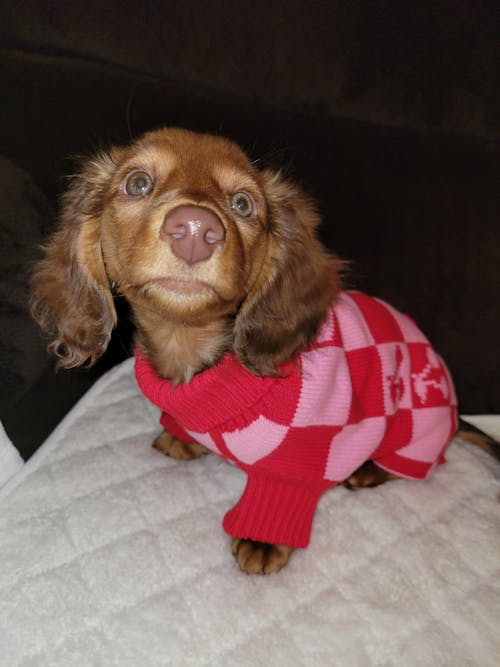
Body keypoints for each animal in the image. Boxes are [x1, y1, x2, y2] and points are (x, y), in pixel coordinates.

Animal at [32, 127, 462, 574]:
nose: (194, 229)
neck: (197, 352)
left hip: (416, 431)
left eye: (242, 203)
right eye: (137, 184)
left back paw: (369, 470)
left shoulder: (299, 458)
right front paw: (182, 439)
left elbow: (280, 495)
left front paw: (262, 540)